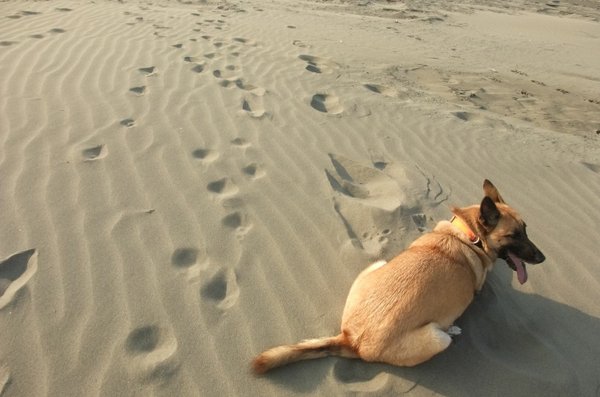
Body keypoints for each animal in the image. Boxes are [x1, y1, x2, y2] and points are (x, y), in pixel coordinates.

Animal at [251, 179, 548, 372]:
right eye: (514, 235)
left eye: (526, 229)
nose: (542, 258)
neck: (467, 234)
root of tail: (350, 339)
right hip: (437, 339)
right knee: (445, 334)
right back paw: (451, 328)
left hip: (377, 264)